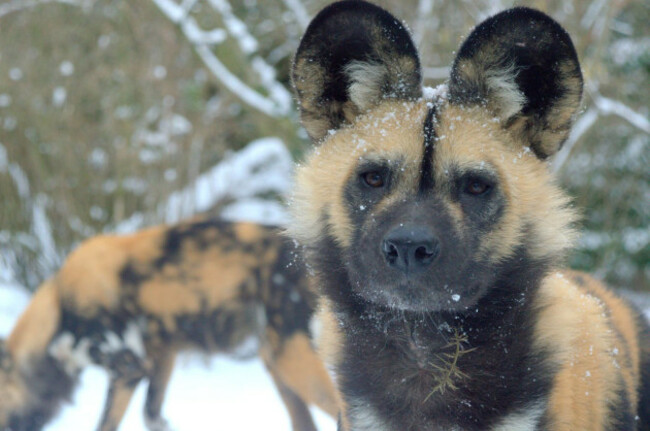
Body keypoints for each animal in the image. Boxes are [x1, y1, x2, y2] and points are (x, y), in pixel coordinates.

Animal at [1, 219, 340, 431]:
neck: (60, 306)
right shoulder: (161, 355)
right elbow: (152, 415)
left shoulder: (128, 367)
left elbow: (106, 423)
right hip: (275, 362)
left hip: (291, 358)